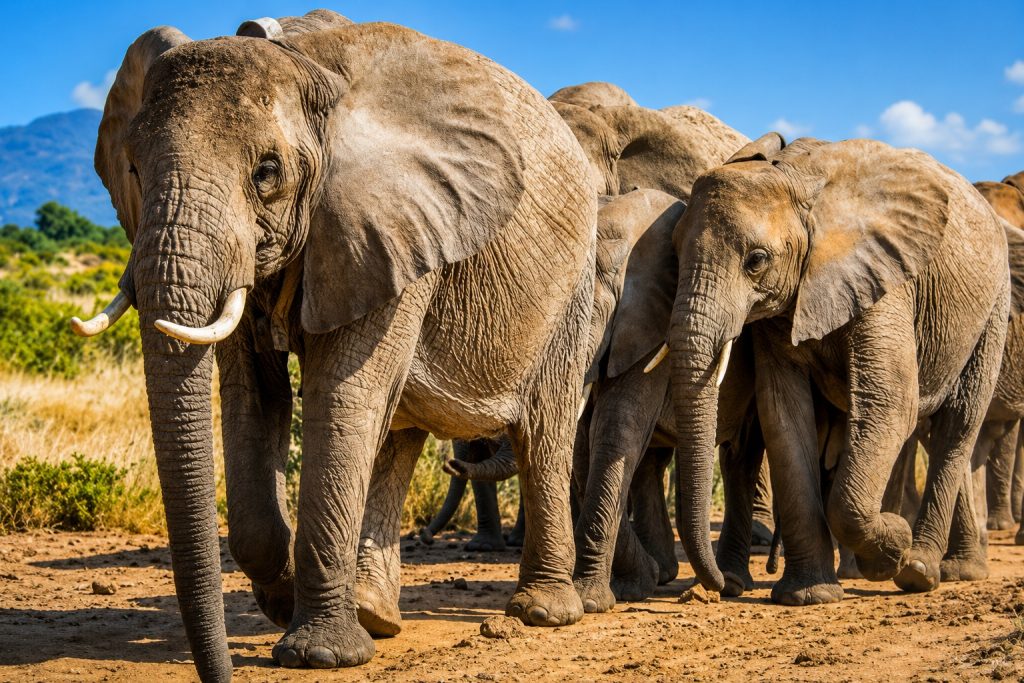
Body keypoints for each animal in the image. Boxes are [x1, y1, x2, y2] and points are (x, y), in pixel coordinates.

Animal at [71, 11, 598, 679]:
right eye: (133, 170)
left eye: (267, 172)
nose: (221, 672)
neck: (303, 66)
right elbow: (253, 395)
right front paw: (281, 600)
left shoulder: (391, 223)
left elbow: (340, 397)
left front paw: (317, 654)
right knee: (397, 432)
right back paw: (374, 613)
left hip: (573, 283)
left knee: (542, 432)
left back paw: (542, 613)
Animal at [669, 133, 1009, 606]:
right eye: (674, 251)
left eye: (756, 260)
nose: (718, 588)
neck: (795, 179)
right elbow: (783, 415)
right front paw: (809, 596)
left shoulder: (884, 278)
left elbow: (890, 401)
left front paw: (892, 547)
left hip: (994, 304)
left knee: (956, 423)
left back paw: (918, 571)